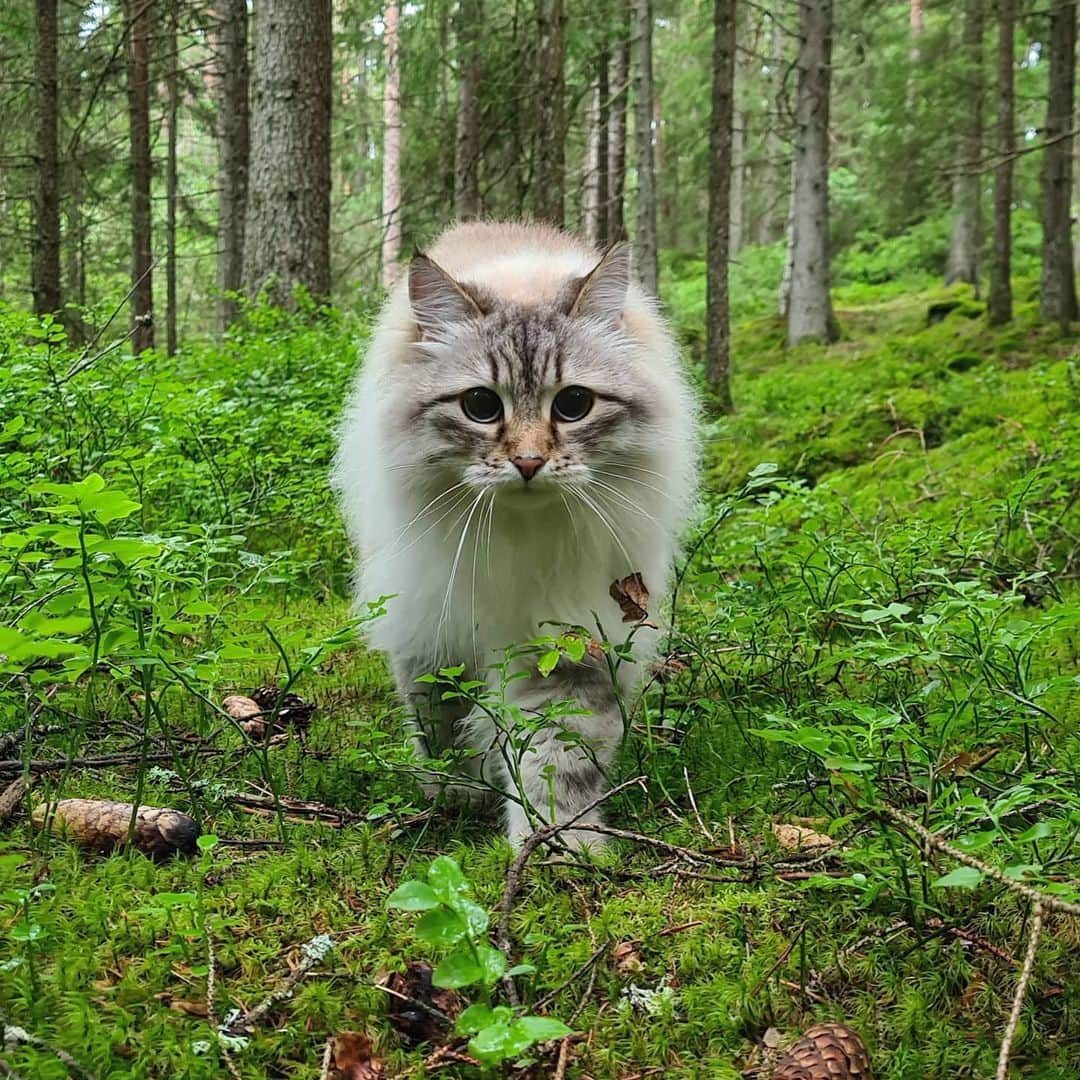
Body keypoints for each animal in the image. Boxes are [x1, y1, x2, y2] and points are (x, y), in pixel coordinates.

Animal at [332, 223, 695, 846]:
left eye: (574, 404)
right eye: (481, 405)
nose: (528, 463)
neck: (519, 540)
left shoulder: (568, 640)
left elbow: (558, 758)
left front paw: (560, 844)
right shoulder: (435, 628)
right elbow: (444, 723)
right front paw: (459, 794)